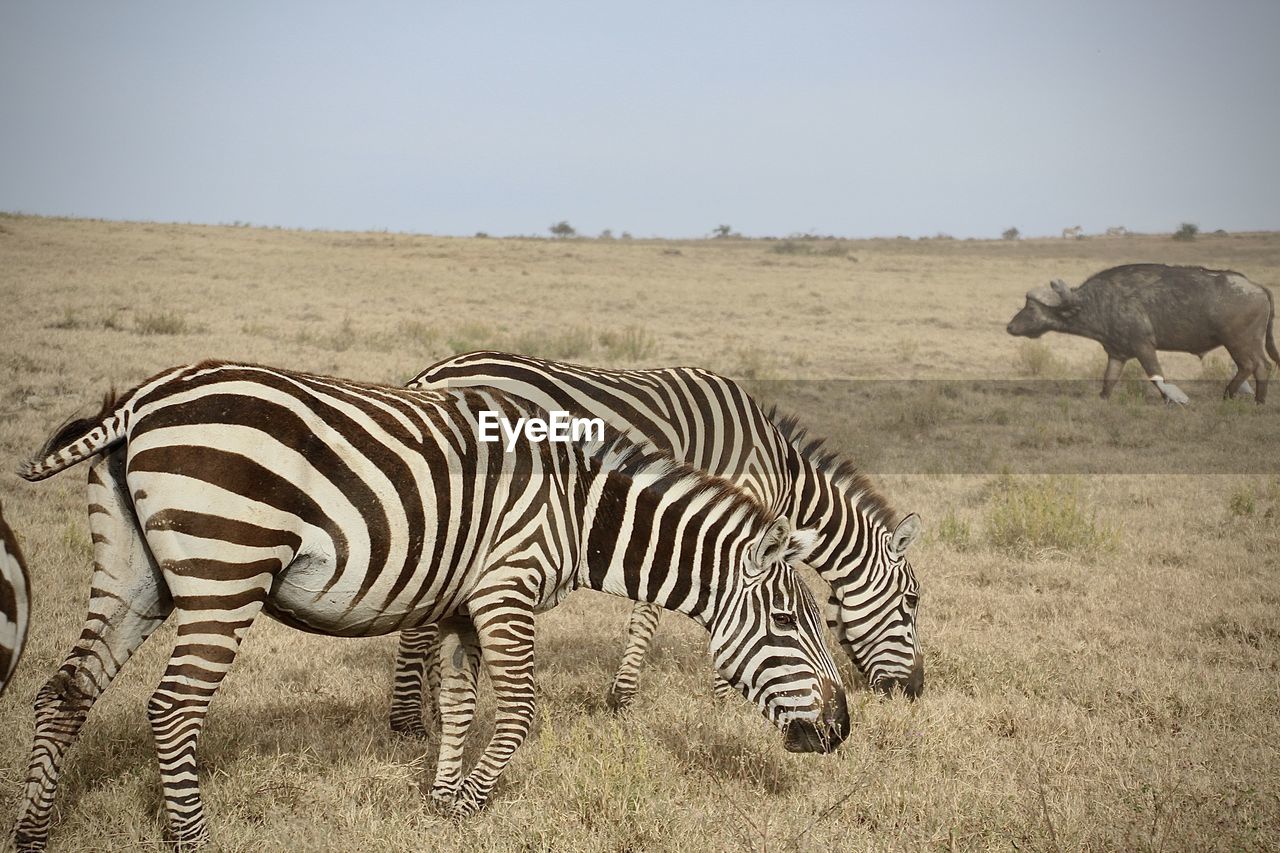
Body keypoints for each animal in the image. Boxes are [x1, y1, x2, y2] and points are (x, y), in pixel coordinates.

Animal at [15, 356, 849, 845]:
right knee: (173, 706)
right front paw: (472, 801)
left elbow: (457, 699)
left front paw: (441, 798)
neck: (579, 507)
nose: (842, 728)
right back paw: (193, 838)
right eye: (787, 621)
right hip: (228, 566)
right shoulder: (508, 588)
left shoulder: (462, 604)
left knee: (64, 692)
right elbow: (516, 709)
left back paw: (33, 829)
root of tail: (140, 400)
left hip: (134, 575)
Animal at [384, 350, 926, 737]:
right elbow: (675, 608)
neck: (781, 469)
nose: (916, 692)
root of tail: (429, 376)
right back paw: (411, 721)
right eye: (912, 601)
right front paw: (714, 701)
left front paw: (624, 695)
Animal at [1008, 261, 1280, 404]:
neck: (1100, 302)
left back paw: (1248, 399)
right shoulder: (1117, 354)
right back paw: (1238, 397)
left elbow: (1157, 377)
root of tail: (1257, 287)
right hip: (1243, 343)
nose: (1010, 326)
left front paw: (1173, 399)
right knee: (1253, 367)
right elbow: (1108, 381)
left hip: (1239, 342)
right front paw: (1103, 399)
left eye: (1030, 307)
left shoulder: (1144, 347)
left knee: (1257, 366)